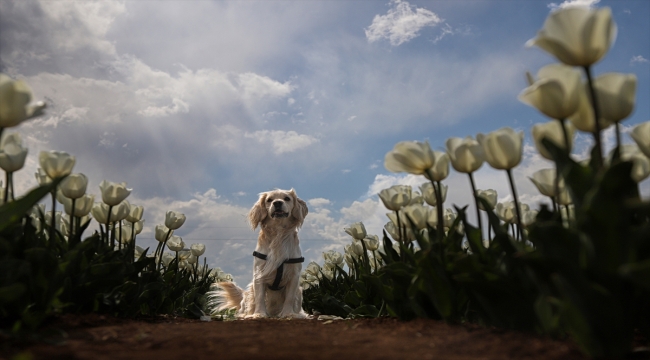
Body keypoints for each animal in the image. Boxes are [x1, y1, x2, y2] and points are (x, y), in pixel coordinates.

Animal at [209, 188, 308, 318]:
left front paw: (288, 314)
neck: (278, 233)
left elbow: (289, 297)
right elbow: (260, 297)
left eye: (287, 198)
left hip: (299, 292)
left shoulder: (293, 275)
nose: (277, 203)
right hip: (249, 292)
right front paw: (259, 314)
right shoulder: (259, 273)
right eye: (269, 200)